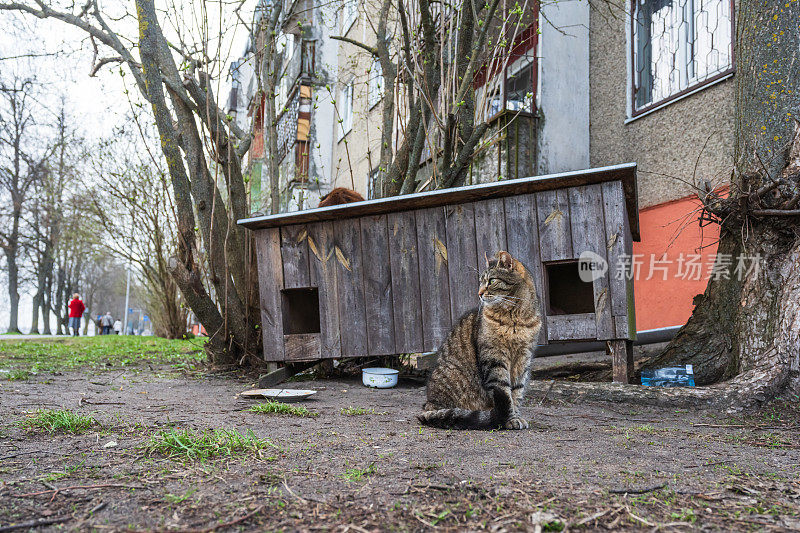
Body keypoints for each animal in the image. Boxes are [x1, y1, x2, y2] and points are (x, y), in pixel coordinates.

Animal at [418, 249, 544, 428]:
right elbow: (504, 391)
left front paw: (516, 416)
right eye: (481, 282)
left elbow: (517, 393)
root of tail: (427, 406)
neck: (514, 318)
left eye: (491, 281)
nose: (479, 293)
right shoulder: (494, 358)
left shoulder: (523, 359)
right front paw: (509, 419)